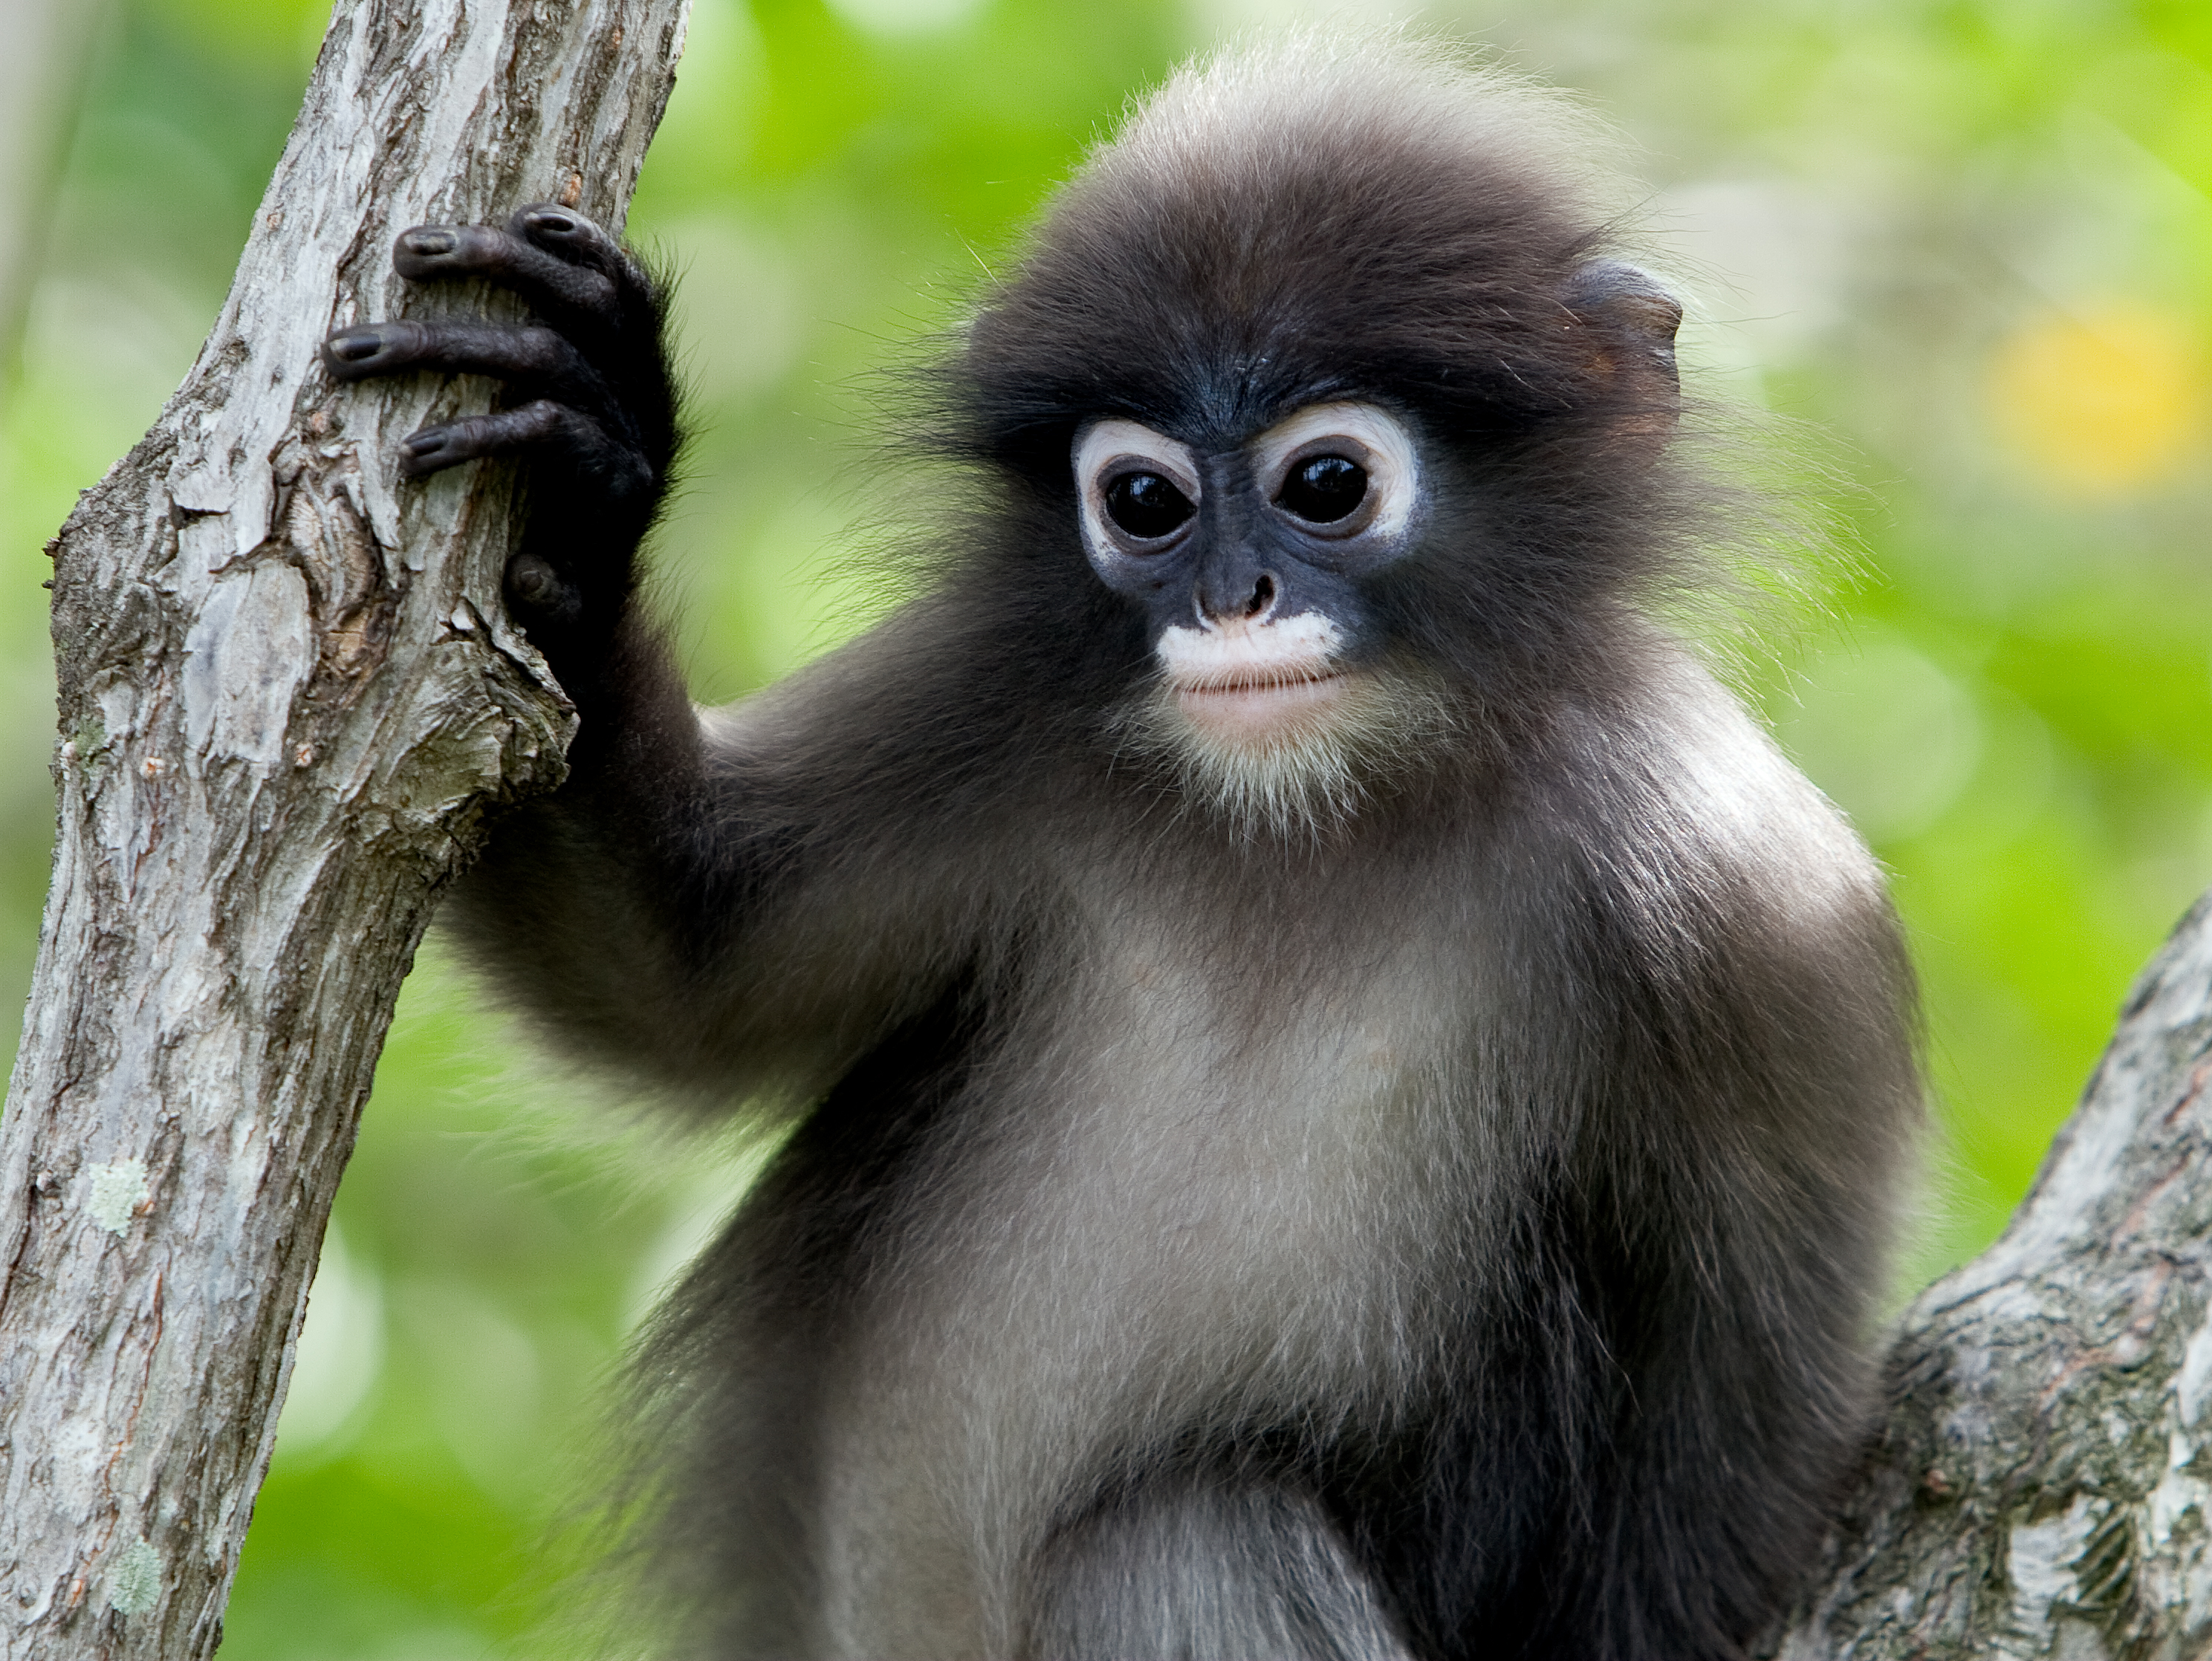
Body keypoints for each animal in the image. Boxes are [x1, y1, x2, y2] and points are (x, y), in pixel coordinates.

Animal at [321, 35, 1920, 1661]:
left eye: (1326, 484)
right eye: (1144, 500)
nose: (1231, 599)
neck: (1307, 817)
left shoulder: (1748, 904)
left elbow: (1723, 1449)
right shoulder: (992, 703)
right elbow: (678, 969)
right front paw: (591, 472)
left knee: (1178, 1534)